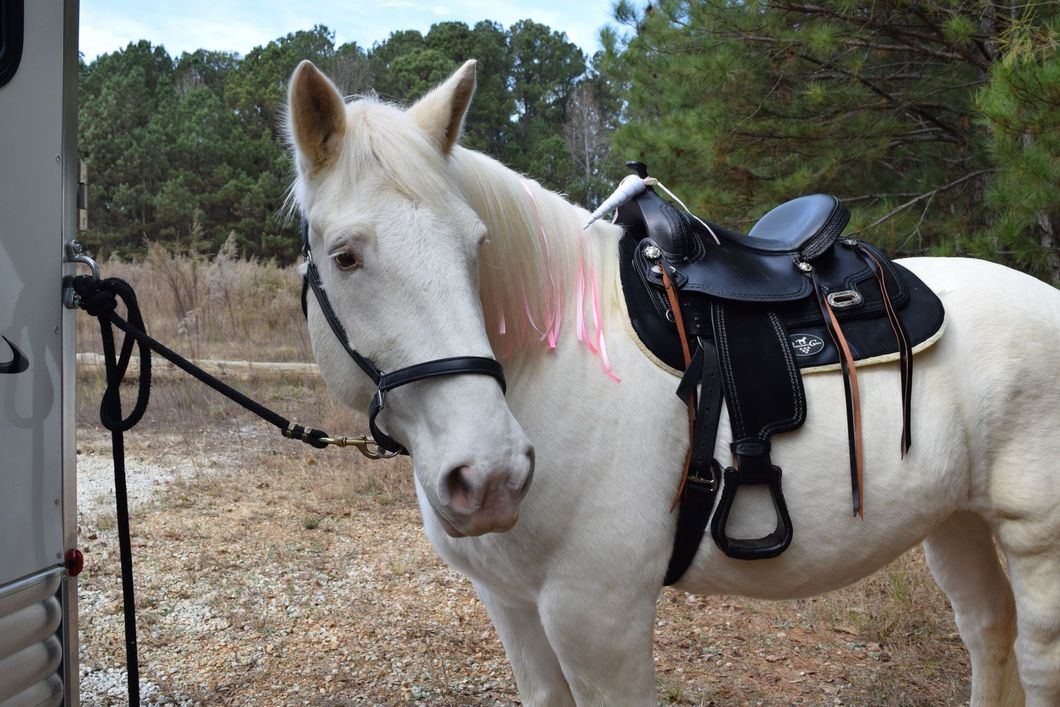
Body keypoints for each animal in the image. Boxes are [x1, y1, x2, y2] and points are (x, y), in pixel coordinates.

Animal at [285, 58, 1060, 706]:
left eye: (476, 245)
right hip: (954, 519)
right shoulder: (513, 607)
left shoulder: (597, 616)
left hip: (1038, 542)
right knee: (988, 631)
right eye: (345, 255)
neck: (552, 363)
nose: (491, 476)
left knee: (1034, 656)